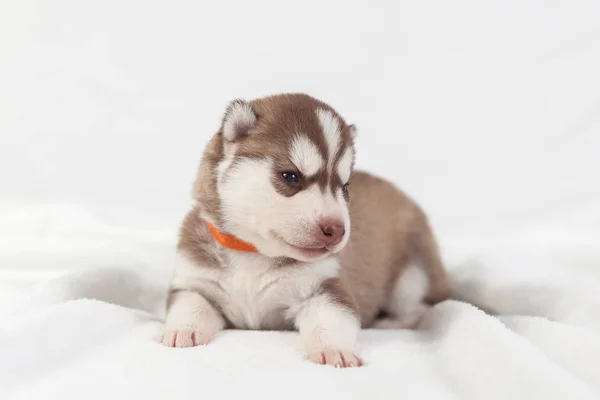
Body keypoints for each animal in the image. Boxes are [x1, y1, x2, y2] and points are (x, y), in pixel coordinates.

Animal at [159, 92, 450, 368]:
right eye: (291, 176)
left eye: (345, 187)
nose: (336, 229)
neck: (252, 253)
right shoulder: (196, 282)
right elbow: (190, 305)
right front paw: (181, 331)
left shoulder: (324, 286)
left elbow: (330, 320)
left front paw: (335, 350)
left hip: (412, 276)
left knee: (420, 309)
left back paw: (387, 322)